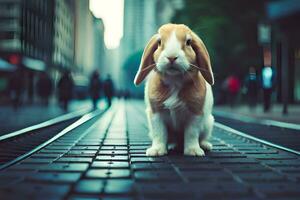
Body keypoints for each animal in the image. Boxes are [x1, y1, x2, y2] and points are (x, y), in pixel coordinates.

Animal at [134, 23, 213, 156]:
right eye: (159, 42)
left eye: (188, 42)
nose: (171, 57)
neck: (174, 81)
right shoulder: (156, 114)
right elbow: (159, 133)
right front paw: (156, 151)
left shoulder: (195, 114)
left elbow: (192, 133)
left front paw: (193, 151)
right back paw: (172, 146)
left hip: (208, 123)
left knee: (202, 137)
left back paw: (205, 145)